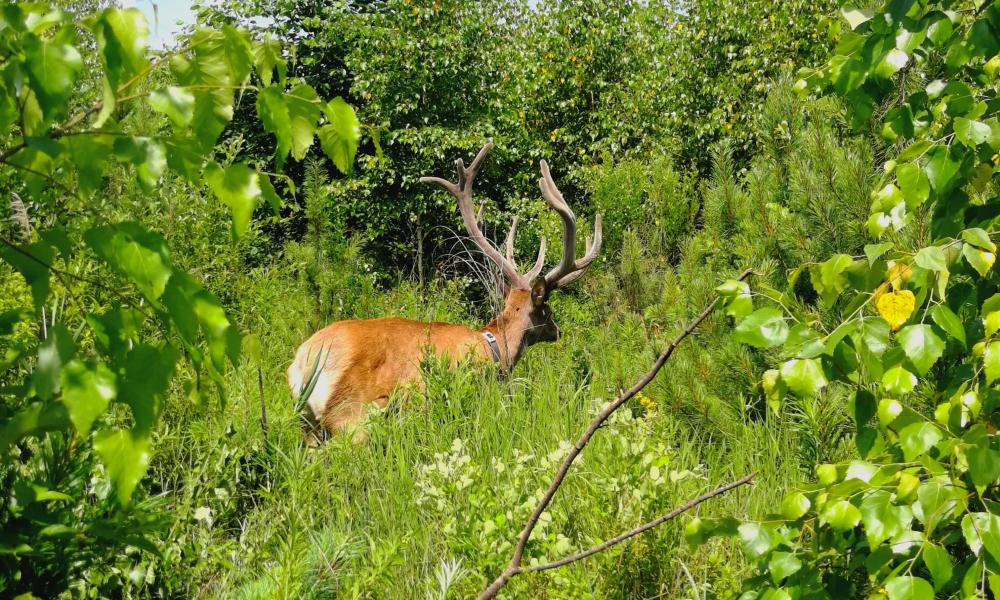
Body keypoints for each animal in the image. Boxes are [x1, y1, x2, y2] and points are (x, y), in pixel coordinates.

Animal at [286, 143, 604, 438]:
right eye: (547, 309)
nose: (558, 330)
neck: (495, 349)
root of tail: (304, 364)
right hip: (352, 416)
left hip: (307, 425)